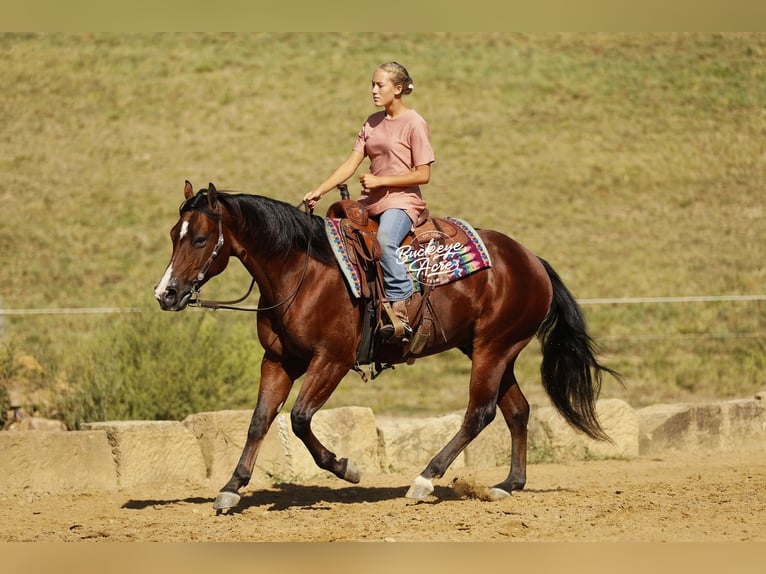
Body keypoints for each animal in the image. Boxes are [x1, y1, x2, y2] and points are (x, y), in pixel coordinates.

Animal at [154, 181, 619, 511]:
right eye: (174, 235)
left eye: (199, 239)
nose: (166, 294)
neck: (302, 271)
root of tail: (532, 260)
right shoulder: (279, 360)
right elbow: (259, 421)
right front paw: (232, 487)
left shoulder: (332, 360)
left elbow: (300, 419)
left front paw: (347, 468)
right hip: (486, 349)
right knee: (516, 410)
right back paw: (508, 484)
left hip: (494, 347)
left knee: (480, 412)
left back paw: (426, 478)